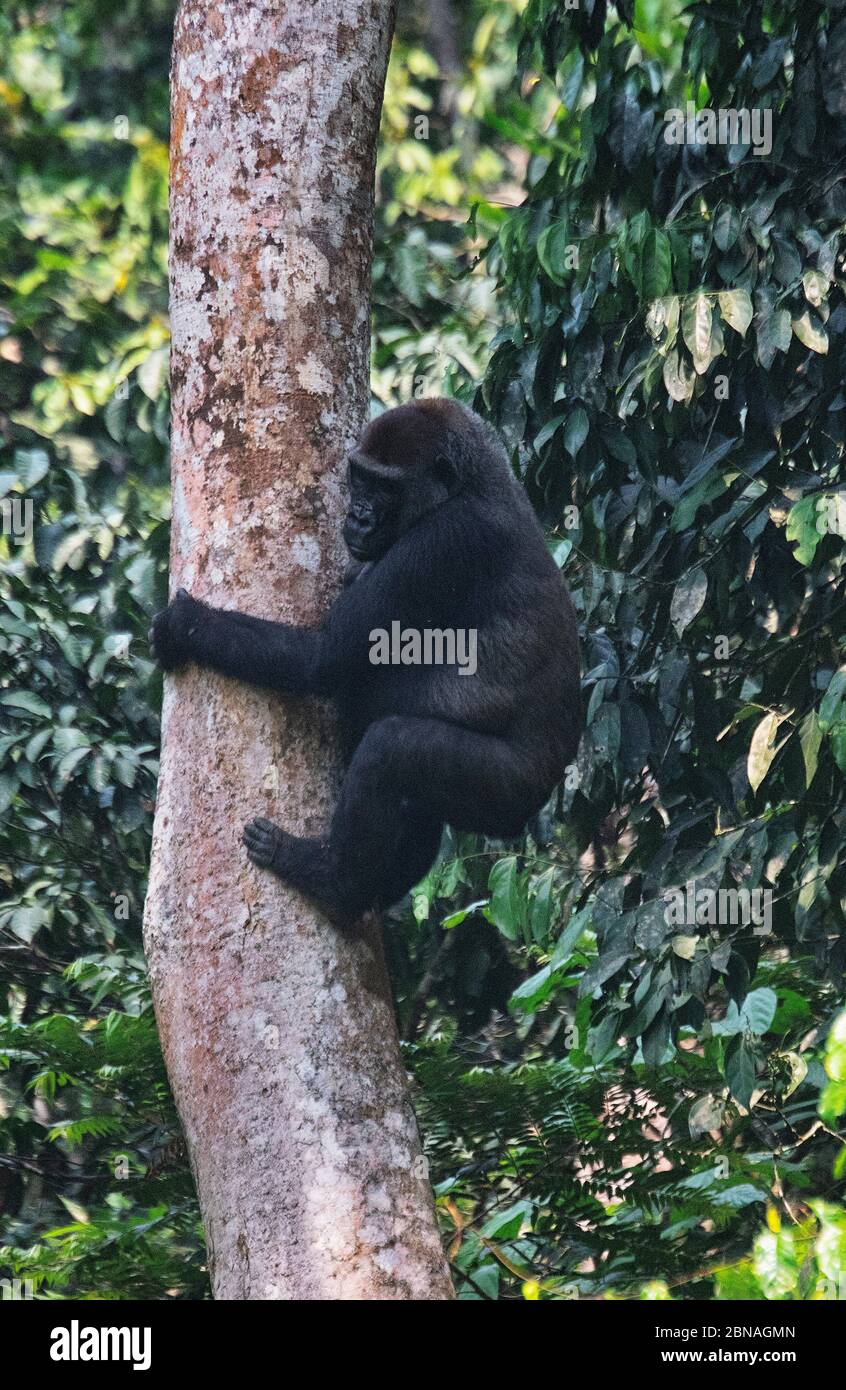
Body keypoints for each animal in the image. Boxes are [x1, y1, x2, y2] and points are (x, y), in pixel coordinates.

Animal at [150, 400, 580, 922]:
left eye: (387, 487)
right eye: (359, 477)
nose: (357, 518)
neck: (472, 482)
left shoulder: (444, 541)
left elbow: (327, 660)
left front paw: (184, 624)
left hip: (508, 788)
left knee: (391, 750)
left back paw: (332, 880)